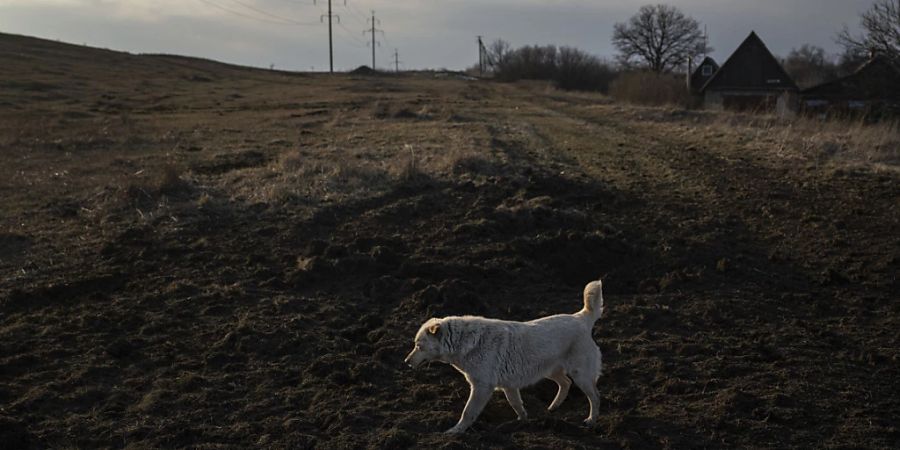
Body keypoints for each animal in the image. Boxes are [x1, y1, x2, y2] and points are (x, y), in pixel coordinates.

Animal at [402, 282, 604, 432]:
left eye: (418, 346)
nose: (406, 362)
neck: (464, 342)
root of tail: (581, 318)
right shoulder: (509, 385)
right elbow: (517, 405)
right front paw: (522, 422)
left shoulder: (482, 387)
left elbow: (468, 412)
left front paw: (454, 432)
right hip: (550, 369)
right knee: (565, 383)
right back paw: (552, 408)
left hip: (580, 374)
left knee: (595, 396)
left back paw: (591, 421)